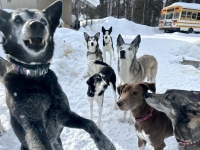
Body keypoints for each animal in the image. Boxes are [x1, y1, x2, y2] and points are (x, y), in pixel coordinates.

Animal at [0, 0, 115, 149]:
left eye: (44, 20)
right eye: (18, 19)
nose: (37, 24)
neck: (35, 76)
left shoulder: (62, 113)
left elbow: (90, 123)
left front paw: (103, 141)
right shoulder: (32, 123)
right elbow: (41, 143)